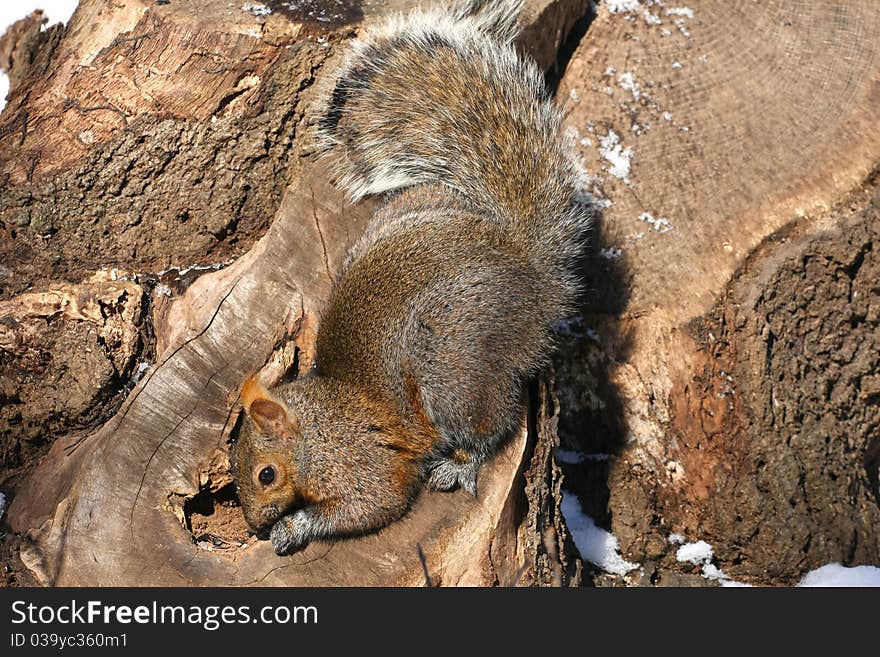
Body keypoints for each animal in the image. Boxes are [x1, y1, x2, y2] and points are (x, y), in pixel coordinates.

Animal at [232, 0, 592, 552]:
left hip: (453, 369)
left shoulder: (364, 465)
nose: (252, 525)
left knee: (493, 424)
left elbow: (372, 504)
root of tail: (527, 269)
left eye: (265, 474)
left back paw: (458, 465)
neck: (318, 427)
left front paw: (292, 527)